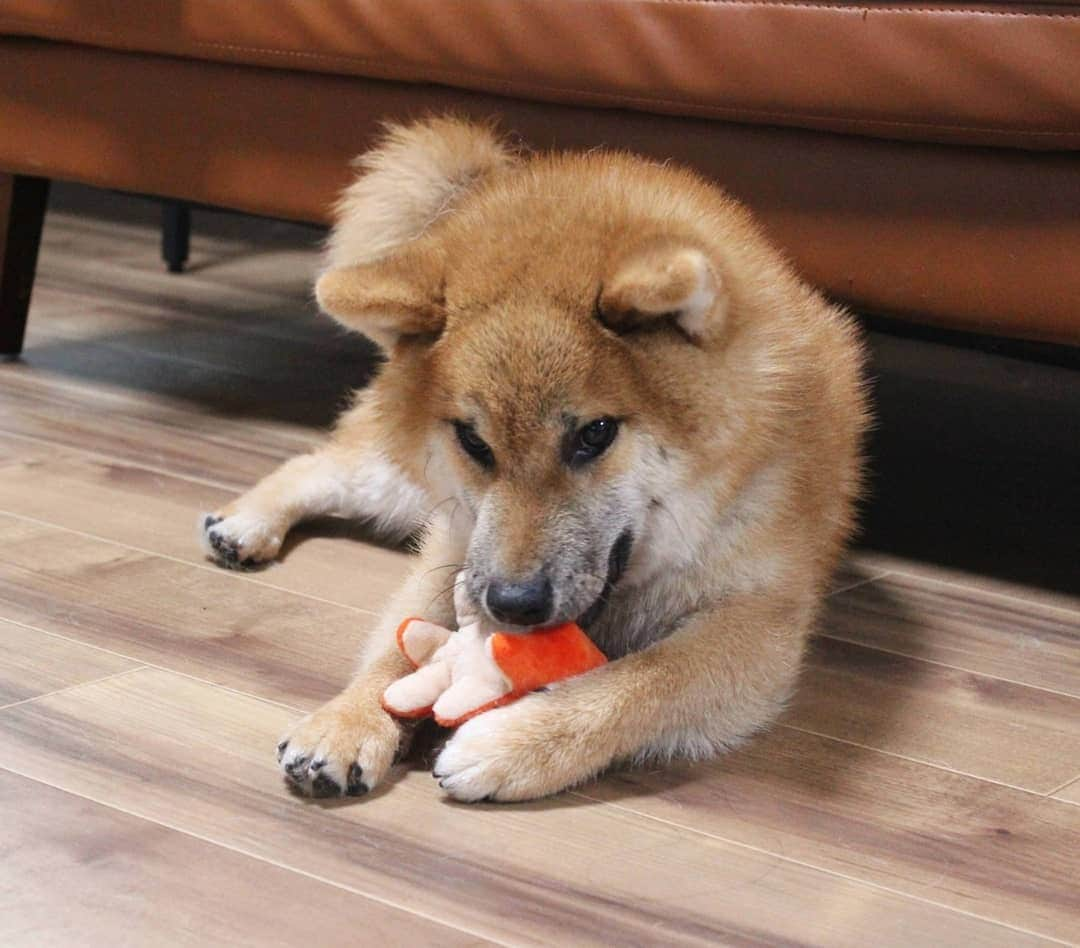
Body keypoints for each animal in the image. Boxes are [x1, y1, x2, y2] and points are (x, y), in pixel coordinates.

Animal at [200, 114, 868, 803]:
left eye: (594, 434)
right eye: (473, 441)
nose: (512, 604)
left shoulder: (755, 625)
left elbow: (645, 682)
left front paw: (512, 743)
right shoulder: (457, 545)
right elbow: (398, 644)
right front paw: (349, 719)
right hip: (405, 489)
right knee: (320, 464)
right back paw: (244, 524)